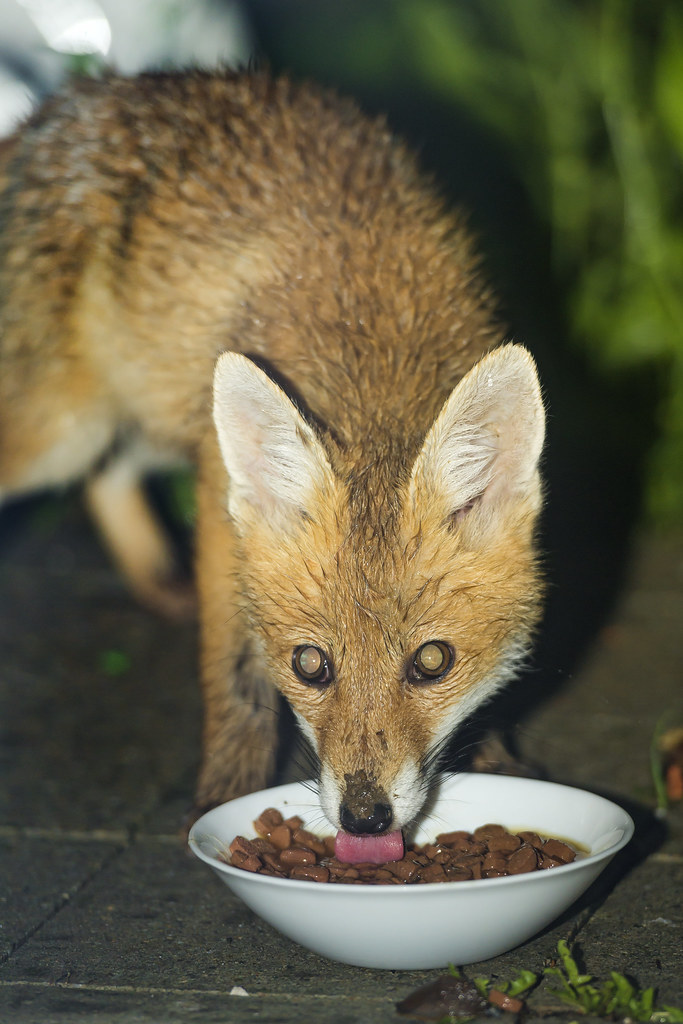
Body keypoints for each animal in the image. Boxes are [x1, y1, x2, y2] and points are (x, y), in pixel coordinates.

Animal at [0, 69, 545, 855]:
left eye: (433, 661)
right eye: (309, 665)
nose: (364, 817)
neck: (370, 349)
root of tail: (55, 109)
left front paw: (497, 758)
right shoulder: (219, 500)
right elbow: (235, 678)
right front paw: (223, 796)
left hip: (139, 414)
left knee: (108, 476)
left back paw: (155, 579)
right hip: (58, 431)